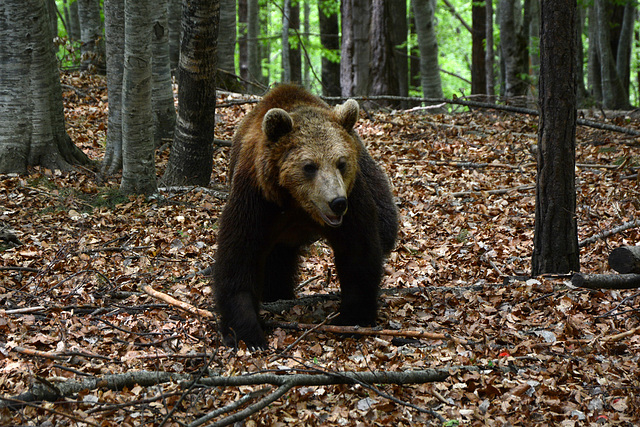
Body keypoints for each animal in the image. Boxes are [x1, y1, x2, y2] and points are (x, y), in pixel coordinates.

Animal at [212, 84, 398, 352]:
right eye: (309, 166)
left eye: (341, 163)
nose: (337, 203)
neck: (298, 205)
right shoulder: (256, 199)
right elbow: (238, 259)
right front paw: (248, 334)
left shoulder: (354, 199)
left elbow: (358, 251)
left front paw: (353, 316)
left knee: (386, 226)